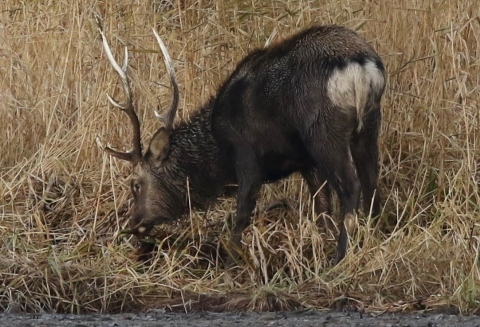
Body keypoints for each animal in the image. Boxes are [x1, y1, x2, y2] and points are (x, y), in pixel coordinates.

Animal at [94, 16, 386, 266]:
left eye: (136, 184)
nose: (133, 223)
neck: (217, 153)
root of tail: (362, 67)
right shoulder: (305, 161)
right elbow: (322, 208)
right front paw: (320, 241)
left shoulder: (246, 155)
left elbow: (241, 217)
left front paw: (230, 263)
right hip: (368, 127)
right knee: (371, 182)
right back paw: (374, 236)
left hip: (324, 132)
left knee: (351, 186)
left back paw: (339, 258)